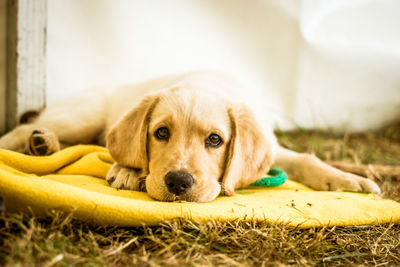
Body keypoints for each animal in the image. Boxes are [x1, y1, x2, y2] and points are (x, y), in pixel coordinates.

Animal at [0, 72, 382, 202]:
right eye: (161, 133)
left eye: (215, 140)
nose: (179, 182)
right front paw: (129, 170)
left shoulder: (272, 147)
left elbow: (305, 158)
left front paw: (346, 180)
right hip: (83, 113)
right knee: (26, 129)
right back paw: (37, 142)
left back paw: (44, 144)